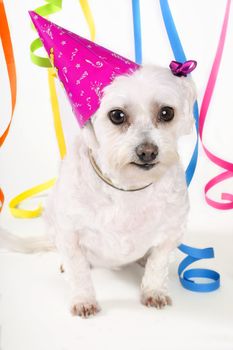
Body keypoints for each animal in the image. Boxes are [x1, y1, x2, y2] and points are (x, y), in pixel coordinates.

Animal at [0, 64, 197, 318]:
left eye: (166, 113)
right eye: (117, 115)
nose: (147, 152)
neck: (127, 186)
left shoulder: (172, 231)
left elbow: (158, 263)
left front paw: (154, 291)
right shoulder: (70, 233)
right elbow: (78, 271)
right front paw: (84, 299)